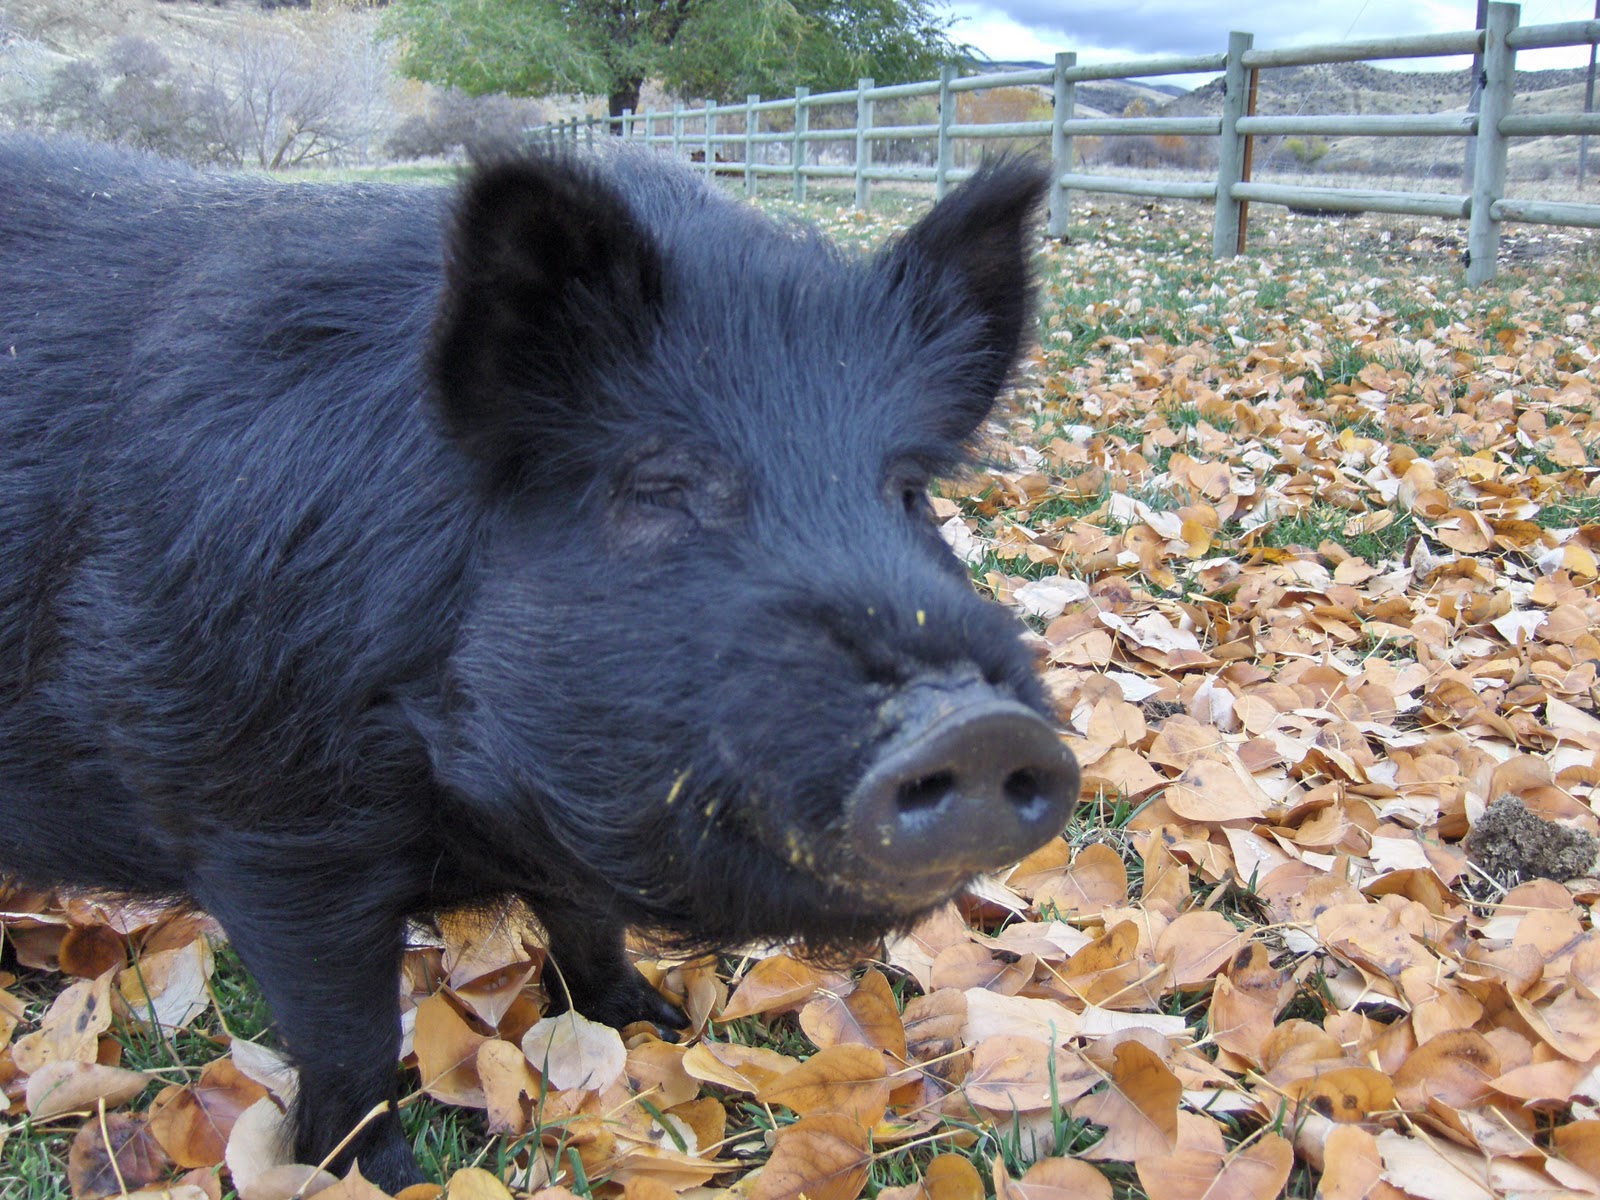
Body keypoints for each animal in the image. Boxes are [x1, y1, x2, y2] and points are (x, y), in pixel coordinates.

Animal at [0, 136, 1079, 1187]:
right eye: (656, 484)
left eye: (909, 491)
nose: (979, 726)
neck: (464, 809)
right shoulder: (264, 819)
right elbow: (345, 1032)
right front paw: (387, 1178)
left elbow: (586, 919)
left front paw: (654, 1022)